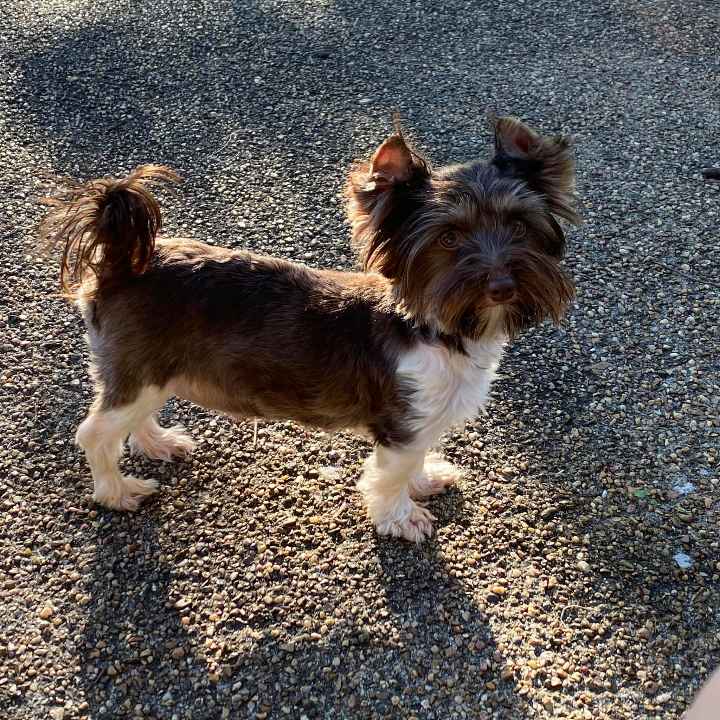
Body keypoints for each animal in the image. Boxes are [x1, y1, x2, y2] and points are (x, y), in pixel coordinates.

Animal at [41, 116, 579, 542]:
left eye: (520, 227)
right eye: (448, 239)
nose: (502, 284)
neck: (434, 327)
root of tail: (121, 263)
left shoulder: (423, 420)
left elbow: (416, 460)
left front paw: (425, 479)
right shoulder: (403, 420)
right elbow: (391, 473)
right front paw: (401, 516)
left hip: (154, 373)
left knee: (132, 417)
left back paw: (157, 444)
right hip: (140, 370)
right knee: (95, 433)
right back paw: (116, 491)